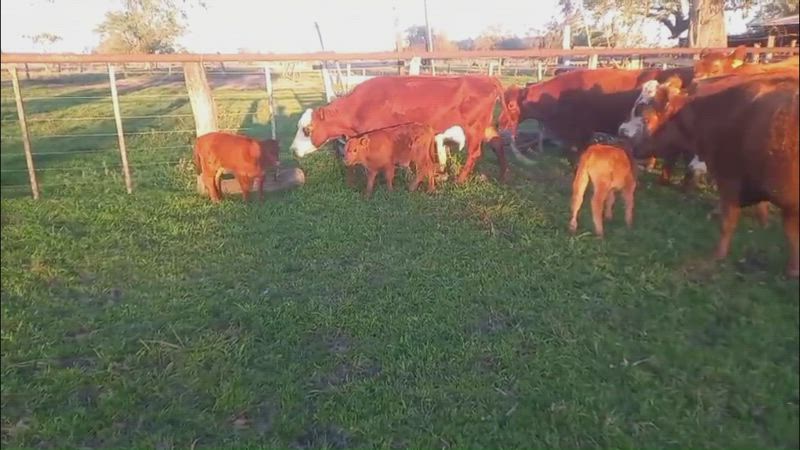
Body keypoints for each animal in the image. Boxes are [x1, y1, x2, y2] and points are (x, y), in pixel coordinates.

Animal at [290, 75, 518, 185]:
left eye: (307, 129)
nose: (292, 150)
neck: (361, 104)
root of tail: (485, 78)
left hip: (474, 128)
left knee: (475, 152)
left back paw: (460, 180)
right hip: (486, 127)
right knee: (498, 143)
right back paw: (504, 176)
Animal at [631, 72, 799, 277]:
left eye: (646, 119)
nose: (634, 147)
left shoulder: (730, 179)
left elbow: (728, 221)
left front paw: (717, 255)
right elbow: (790, 232)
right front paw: (793, 269)